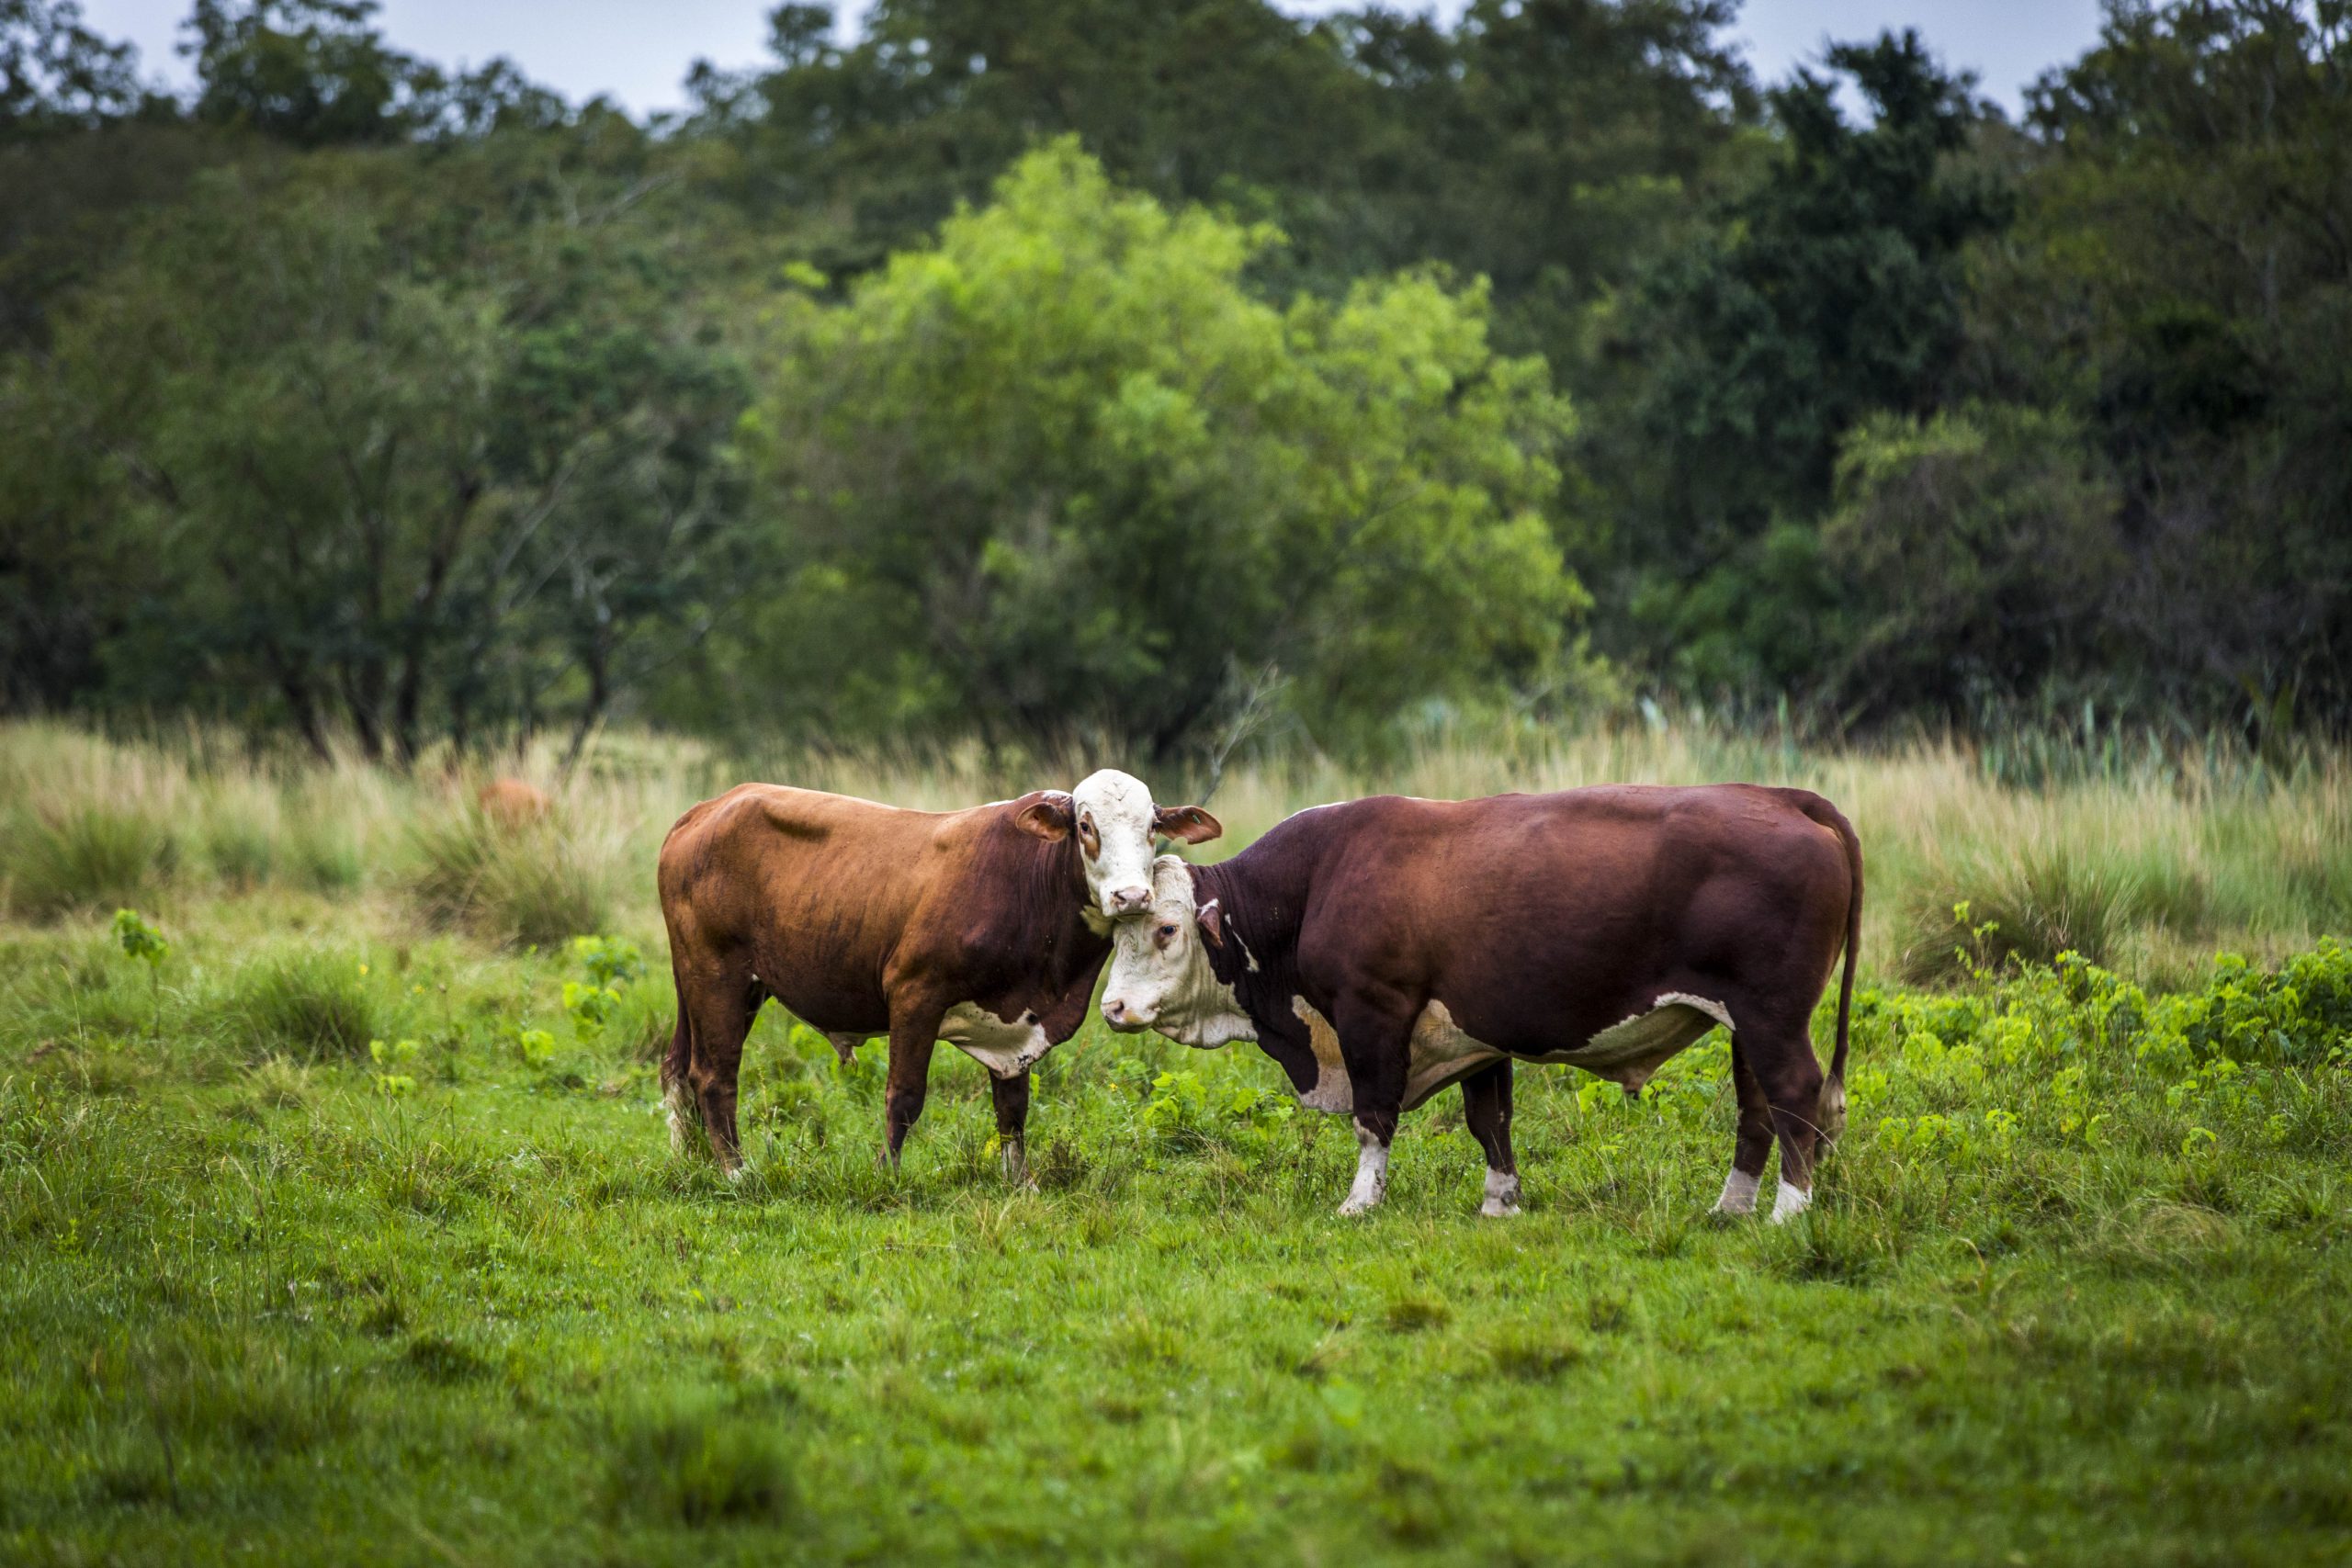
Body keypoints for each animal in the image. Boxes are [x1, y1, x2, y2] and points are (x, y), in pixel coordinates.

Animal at [658, 771, 1213, 1175]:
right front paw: (888, 1175)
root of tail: (710, 806)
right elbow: (904, 1096)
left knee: (678, 1068)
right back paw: (737, 1172)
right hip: (717, 974)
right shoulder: (914, 992)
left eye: (1152, 828)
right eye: (1085, 827)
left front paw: (1019, 1181)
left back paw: (695, 1161)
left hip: (724, 986)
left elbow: (1013, 1109)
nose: (1132, 896)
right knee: (714, 1075)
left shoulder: (1019, 1025)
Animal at [1095, 789, 1853, 1222]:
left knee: (1794, 1095)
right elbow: (1491, 1120)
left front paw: (1360, 1201)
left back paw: (1788, 1212)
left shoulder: (1373, 1014)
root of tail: (1787, 798)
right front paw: (1500, 1201)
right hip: (1746, 1023)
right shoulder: (1479, 1030)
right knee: (1757, 1109)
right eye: (1113, 930)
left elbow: (1374, 1118)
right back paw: (1731, 1207)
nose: (1113, 1008)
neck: (1316, 880)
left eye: (1165, 930)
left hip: (1772, 1016)